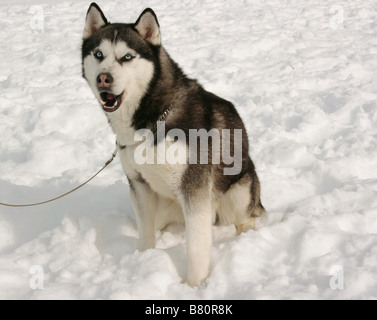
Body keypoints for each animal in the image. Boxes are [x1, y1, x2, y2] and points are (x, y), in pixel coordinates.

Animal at [82, 2, 264, 286]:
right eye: (99, 54)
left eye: (127, 57)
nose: (104, 78)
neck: (151, 120)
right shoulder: (140, 186)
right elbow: (146, 234)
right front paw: (144, 261)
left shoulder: (194, 189)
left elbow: (196, 248)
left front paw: (194, 285)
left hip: (240, 190)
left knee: (246, 217)